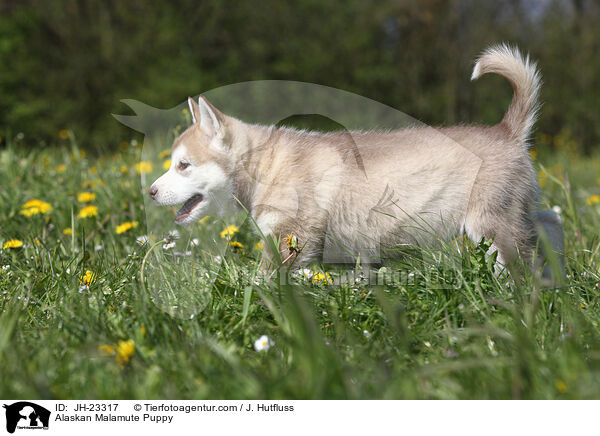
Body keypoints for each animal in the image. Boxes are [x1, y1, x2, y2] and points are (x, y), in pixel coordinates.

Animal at [149, 46, 556, 274]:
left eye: (183, 165)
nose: (150, 192)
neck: (266, 165)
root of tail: (506, 130)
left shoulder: (292, 236)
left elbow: (263, 280)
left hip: (491, 226)